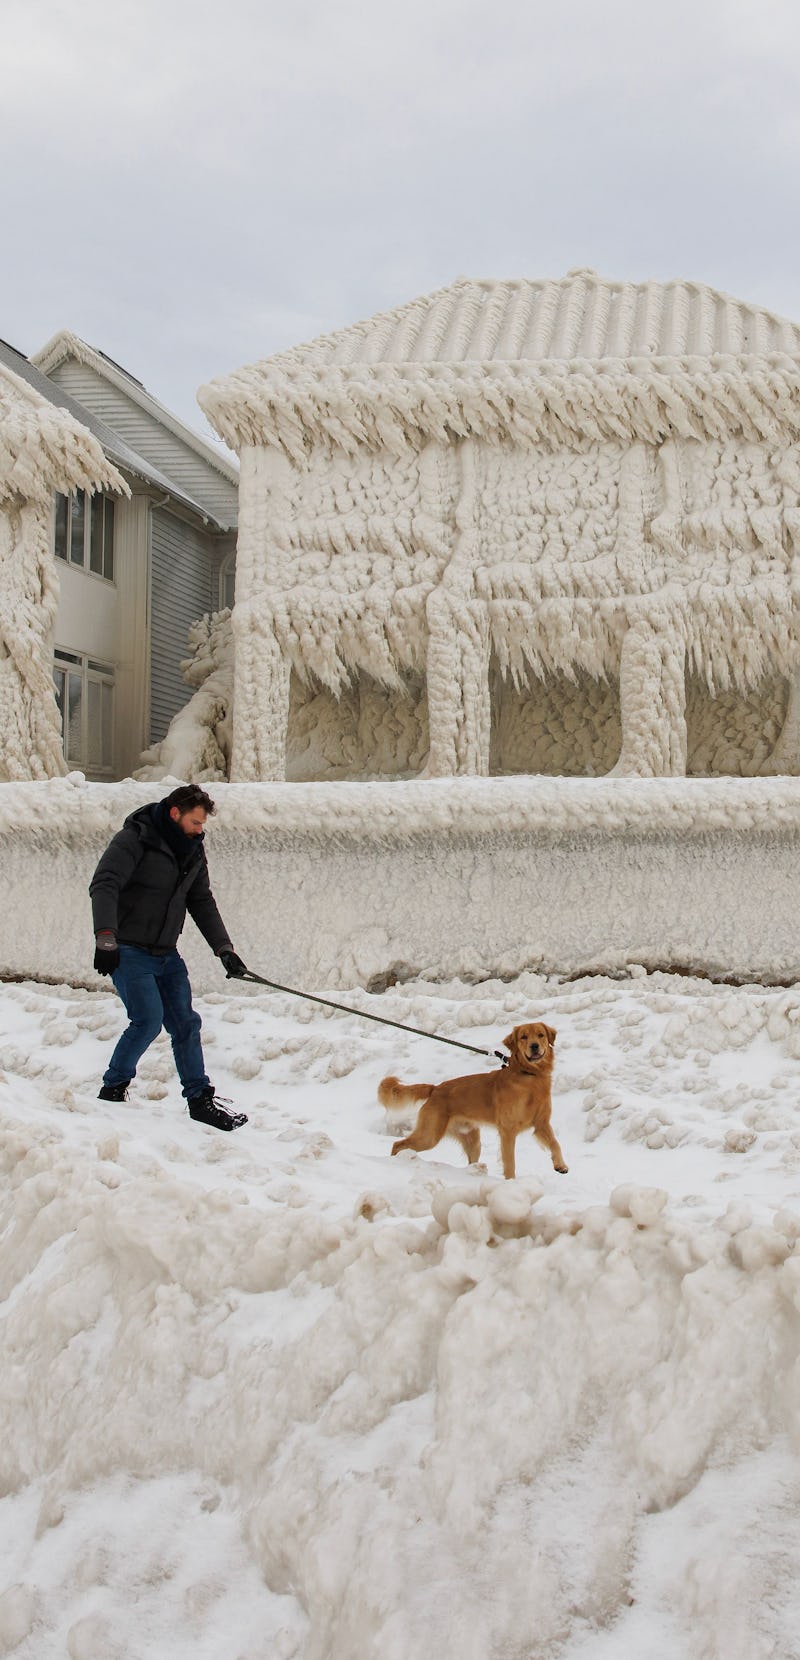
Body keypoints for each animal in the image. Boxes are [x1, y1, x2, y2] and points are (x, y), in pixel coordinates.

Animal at [378, 1022, 564, 1181]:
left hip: (473, 1142)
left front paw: (561, 1165)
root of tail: (435, 1088)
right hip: (429, 1135)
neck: (529, 1076)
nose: (534, 1046)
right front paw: (511, 1183)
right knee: (397, 1144)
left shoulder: (541, 1123)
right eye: (523, 1037)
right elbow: (510, 1161)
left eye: (540, 1035)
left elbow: (555, 1144)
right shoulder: (507, 1130)